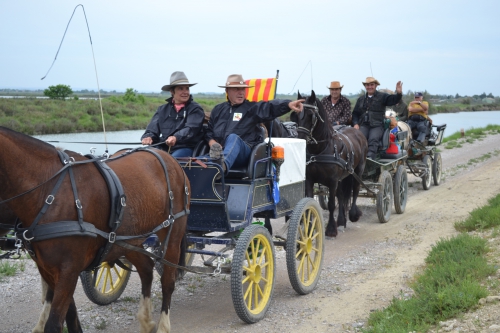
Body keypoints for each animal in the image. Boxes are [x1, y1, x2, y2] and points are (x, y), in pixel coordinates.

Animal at [0, 126, 190, 332]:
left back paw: (163, 325)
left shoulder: (68, 271)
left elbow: (55, 323)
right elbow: (71, 317)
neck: (50, 192)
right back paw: (146, 321)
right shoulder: (48, 269)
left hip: (172, 235)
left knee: (167, 282)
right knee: (146, 270)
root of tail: (170, 159)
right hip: (129, 241)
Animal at [292, 91, 370, 236]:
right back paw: (341, 220)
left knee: (355, 189)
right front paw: (309, 227)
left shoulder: (332, 181)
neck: (319, 151)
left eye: (311, 116)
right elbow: (311, 201)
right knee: (341, 195)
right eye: (296, 115)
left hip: (358, 170)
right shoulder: (310, 180)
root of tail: (357, 131)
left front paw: (331, 229)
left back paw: (353, 214)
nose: (300, 139)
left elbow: (332, 204)